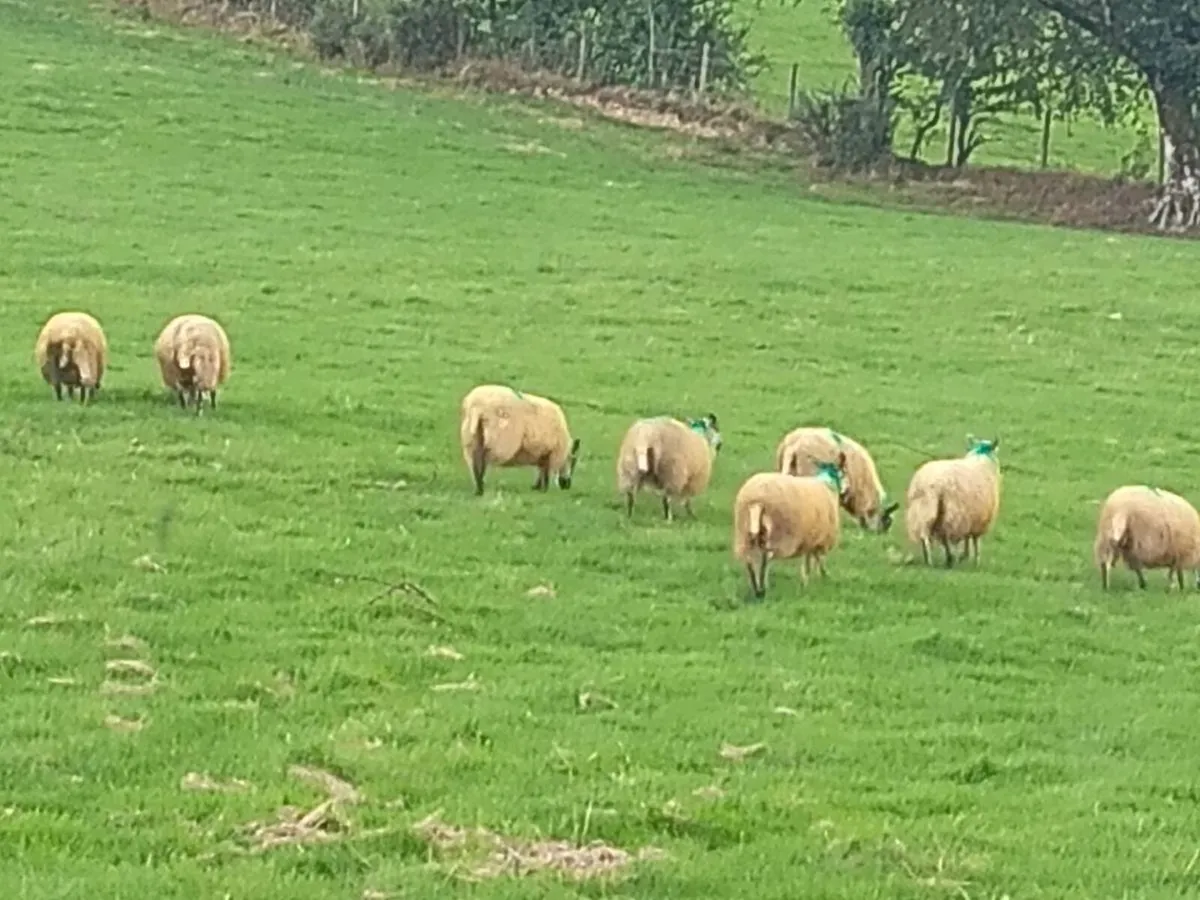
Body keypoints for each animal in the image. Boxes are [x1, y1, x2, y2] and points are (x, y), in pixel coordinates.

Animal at [732, 454, 848, 599]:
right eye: (845, 472)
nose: (846, 491)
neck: (828, 484)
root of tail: (756, 500)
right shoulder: (821, 538)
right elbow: (817, 560)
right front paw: (820, 578)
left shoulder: (810, 537)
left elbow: (809, 560)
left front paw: (808, 580)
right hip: (775, 532)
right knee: (765, 558)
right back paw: (763, 589)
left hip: (744, 530)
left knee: (749, 559)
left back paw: (756, 589)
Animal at [904, 436, 1001, 568]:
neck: (981, 458)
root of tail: (929, 484)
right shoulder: (977, 519)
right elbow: (974, 540)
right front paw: (974, 560)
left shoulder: (970, 517)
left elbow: (967, 538)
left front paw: (966, 556)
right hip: (952, 513)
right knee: (945, 536)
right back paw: (949, 558)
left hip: (923, 509)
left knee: (924, 535)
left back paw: (929, 559)